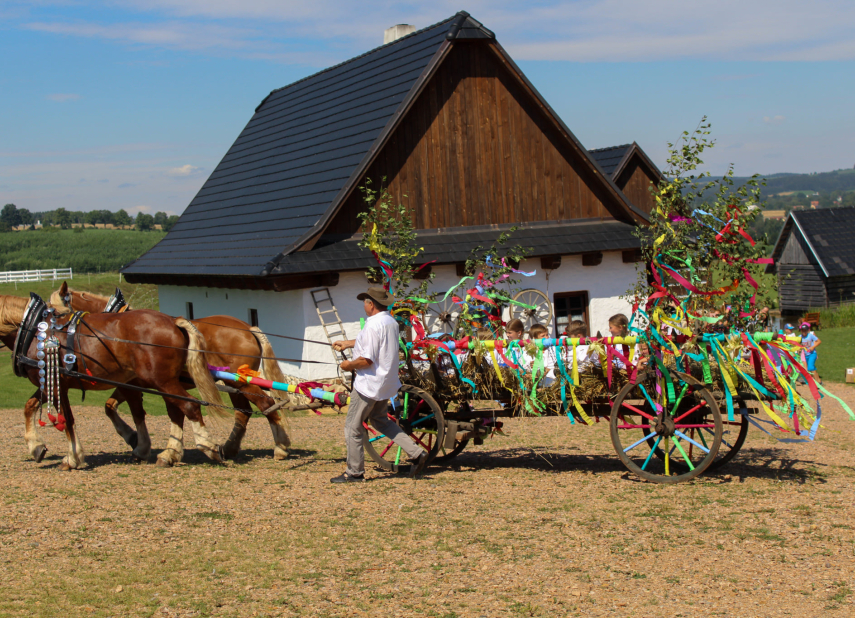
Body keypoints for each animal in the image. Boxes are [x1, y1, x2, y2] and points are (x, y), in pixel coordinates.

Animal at [1, 294, 229, 466]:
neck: (33, 330)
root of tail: (173, 320)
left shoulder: (57, 383)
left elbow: (68, 420)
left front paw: (73, 458)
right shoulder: (51, 381)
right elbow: (30, 406)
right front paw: (36, 446)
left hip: (163, 381)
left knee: (190, 407)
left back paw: (208, 446)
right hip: (165, 382)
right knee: (179, 410)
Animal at [51, 282, 298, 460]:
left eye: (54, 312)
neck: (114, 331)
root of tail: (247, 327)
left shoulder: (136, 385)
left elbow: (129, 411)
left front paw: (139, 442)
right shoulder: (147, 384)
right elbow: (115, 407)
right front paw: (156, 446)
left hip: (240, 381)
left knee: (265, 405)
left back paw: (280, 447)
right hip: (234, 384)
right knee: (243, 412)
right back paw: (229, 448)